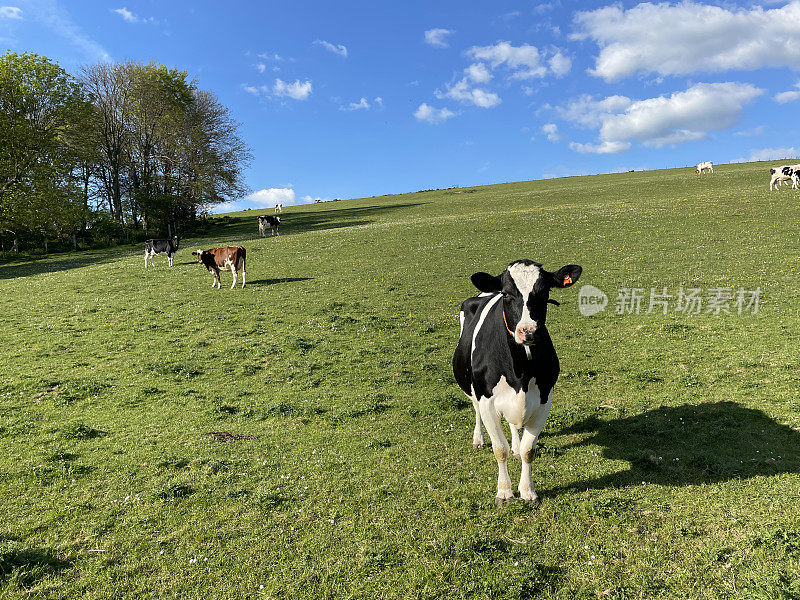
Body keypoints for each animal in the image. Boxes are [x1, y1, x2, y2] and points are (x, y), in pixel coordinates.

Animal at [456, 258, 580, 502]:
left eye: (544, 291)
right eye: (506, 294)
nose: (529, 332)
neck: (520, 371)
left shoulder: (543, 400)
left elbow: (528, 450)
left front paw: (527, 490)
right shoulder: (486, 401)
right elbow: (499, 449)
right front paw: (504, 491)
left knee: (514, 425)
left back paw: (515, 444)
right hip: (473, 390)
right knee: (476, 411)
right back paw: (478, 439)